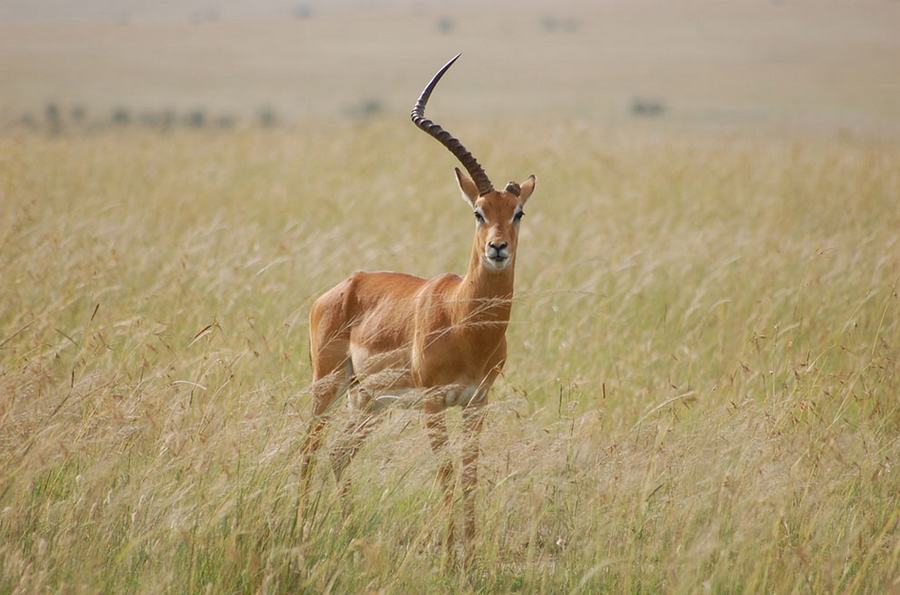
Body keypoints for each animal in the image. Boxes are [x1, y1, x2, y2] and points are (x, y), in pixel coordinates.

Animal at [298, 53, 536, 556]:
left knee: (339, 454)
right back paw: (300, 526)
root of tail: (342, 285)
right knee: (310, 448)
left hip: (367, 400)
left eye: (518, 212)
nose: (498, 248)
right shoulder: (432, 402)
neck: (465, 322)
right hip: (328, 385)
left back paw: (348, 529)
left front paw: (470, 548)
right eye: (478, 212)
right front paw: (449, 550)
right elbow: (445, 472)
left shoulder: (477, 402)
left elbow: (470, 474)